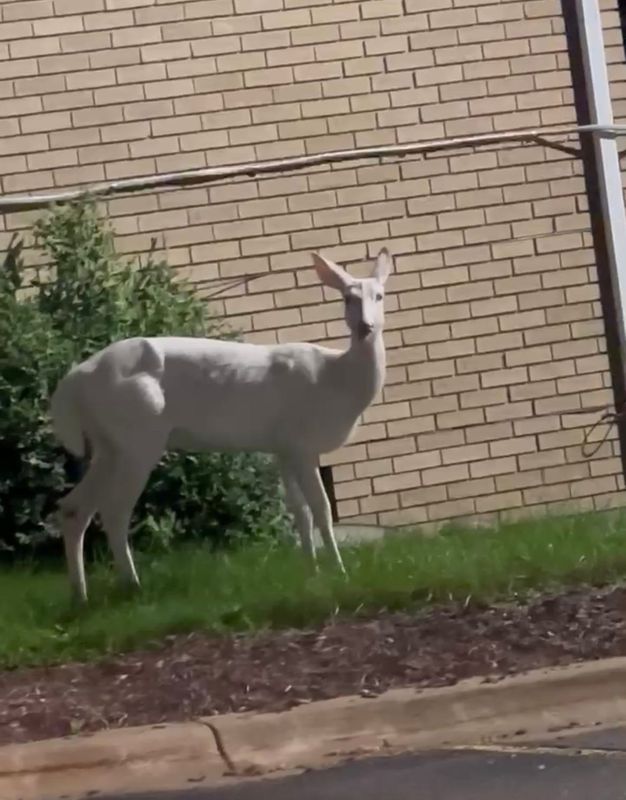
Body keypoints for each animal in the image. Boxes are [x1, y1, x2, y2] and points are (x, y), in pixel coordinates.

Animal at [49, 247, 393, 603]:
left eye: (380, 295)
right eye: (347, 298)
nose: (366, 326)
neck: (336, 381)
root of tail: (73, 382)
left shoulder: (282, 446)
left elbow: (301, 511)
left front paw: (311, 570)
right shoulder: (302, 442)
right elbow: (321, 508)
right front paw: (339, 570)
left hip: (108, 443)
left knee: (73, 507)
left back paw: (80, 594)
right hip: (137, 436)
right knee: (114, 510)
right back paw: (132, 585)